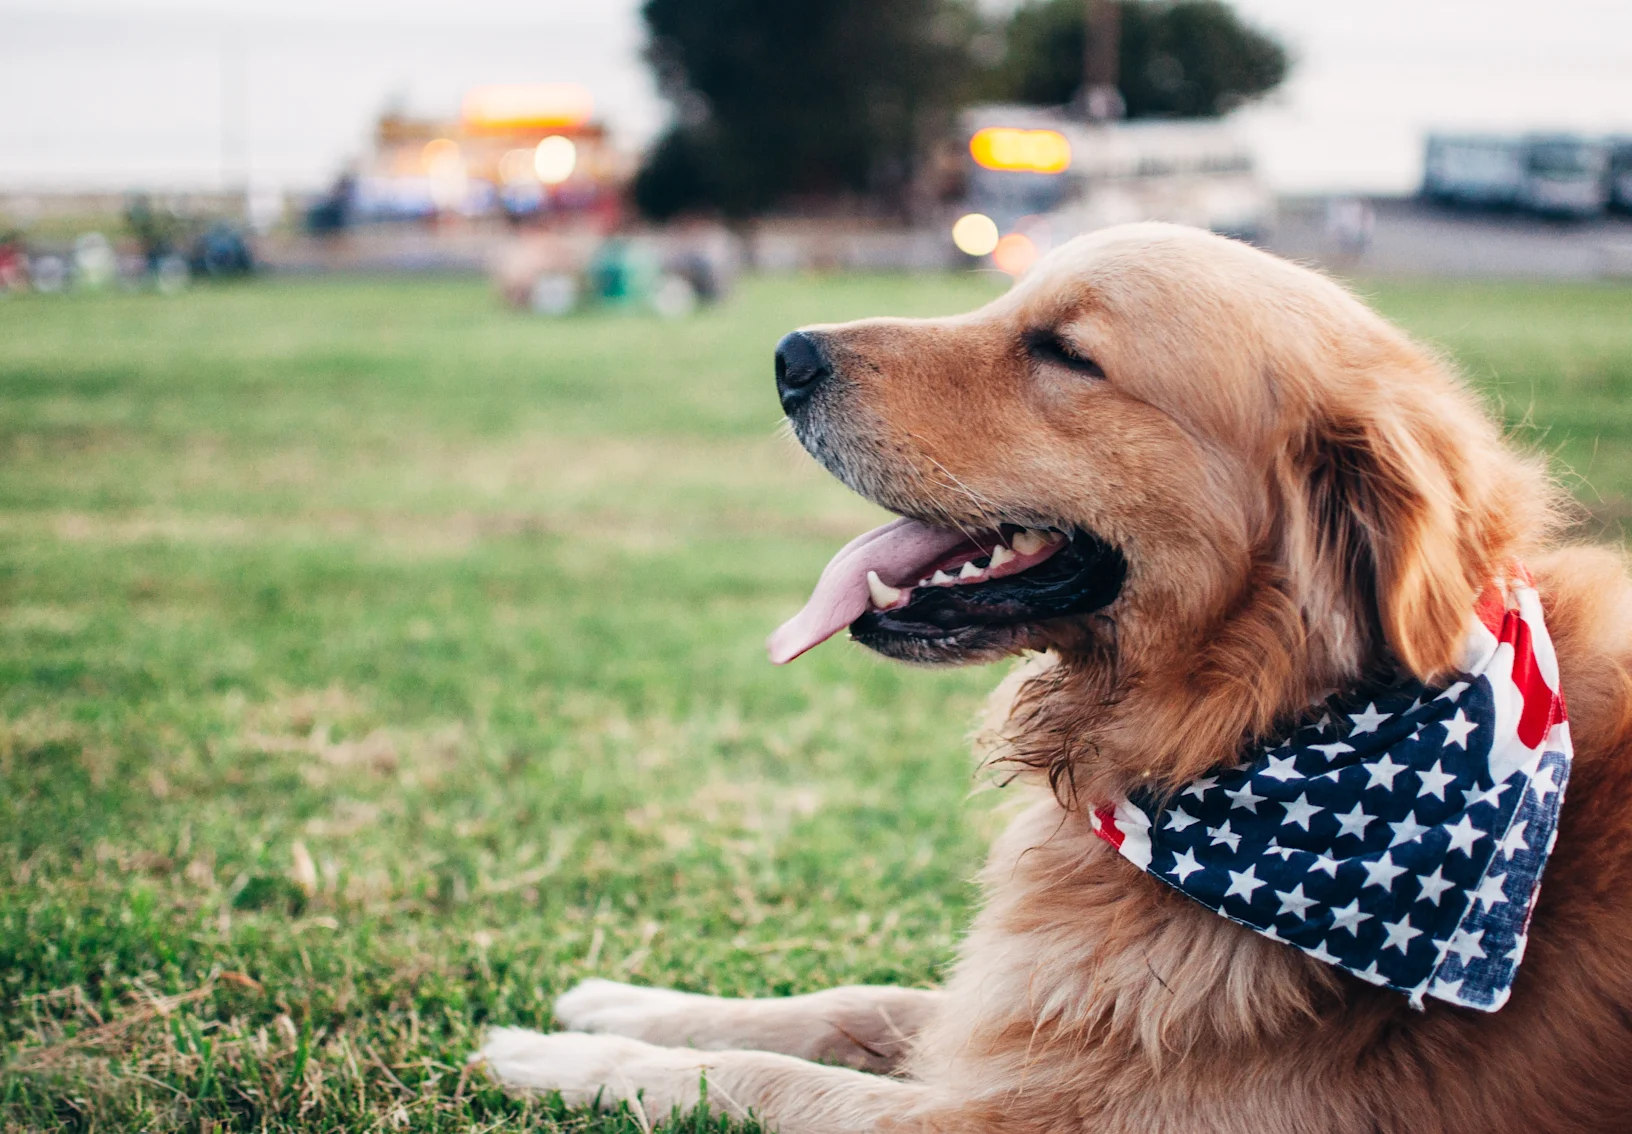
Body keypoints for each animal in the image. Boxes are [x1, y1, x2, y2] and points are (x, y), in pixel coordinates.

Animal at [473, 223, 1632, 1134]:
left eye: (1068, 353)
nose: (787, 354)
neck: (1247, 727)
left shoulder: (1013, 1116)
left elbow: (760, 1080)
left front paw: (558, 1058)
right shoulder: (1030, 1015)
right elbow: (847, 1001)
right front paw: (616, 1004)